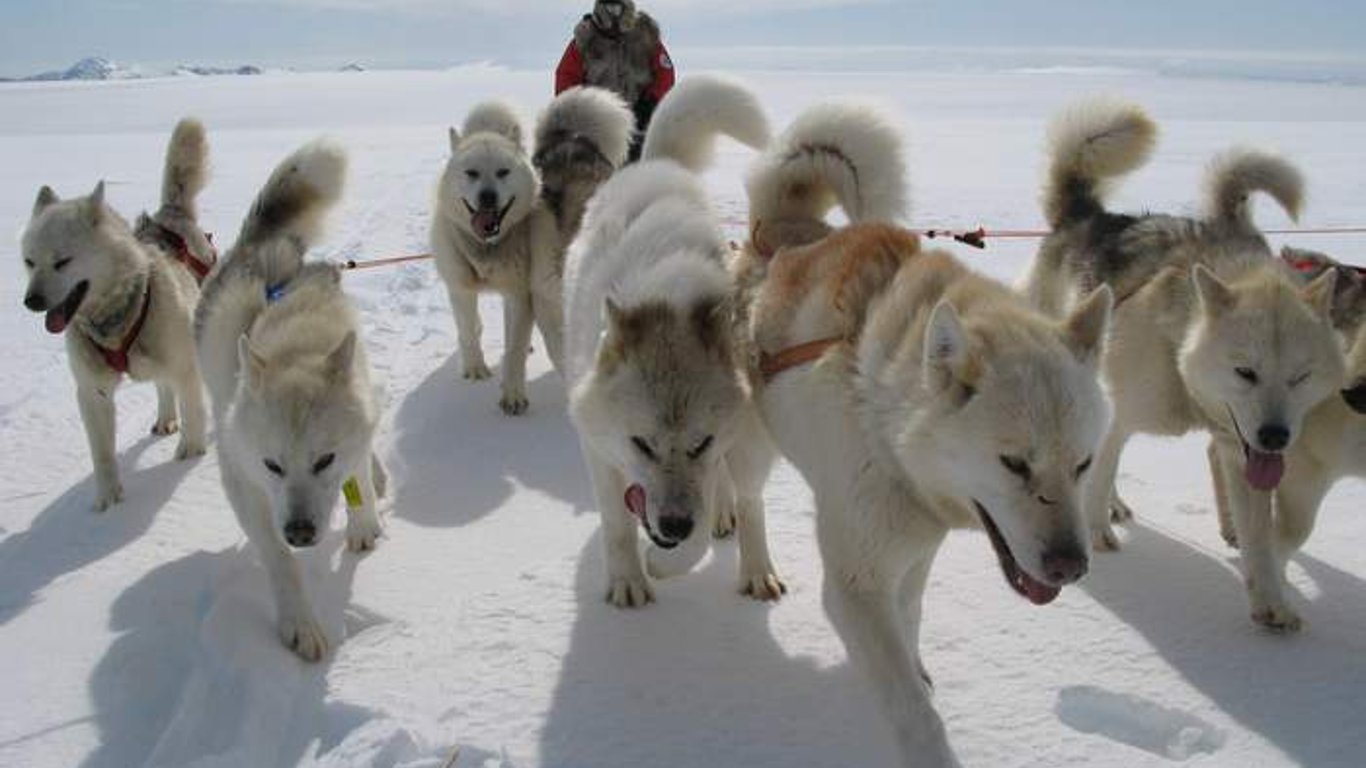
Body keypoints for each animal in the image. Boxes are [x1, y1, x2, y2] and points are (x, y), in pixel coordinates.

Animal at [19, 119, 213, 508]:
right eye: (30, 262)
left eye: (62, 261)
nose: (31, 301)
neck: (115, 316)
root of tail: (171, 213)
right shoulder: (91, 392)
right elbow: (102, 453)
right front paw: (108, 499)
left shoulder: (186, 365)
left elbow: (193, 411)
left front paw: (190, 452)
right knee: (162, 386)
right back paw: (165, 418)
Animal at [192, 137, 387, 658]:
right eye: (272, 465)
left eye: (324, 460)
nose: (300, 532)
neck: (292, 342)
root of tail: (263, 249)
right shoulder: (243, 479)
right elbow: (277, 559)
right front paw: (299, 623)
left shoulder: (353, 434)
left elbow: (358, 474)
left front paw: (363, 522)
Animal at [562, 76, 786, 604]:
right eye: (641, 444)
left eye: (699, 443)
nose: (673, 526)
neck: (663, 295)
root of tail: (658, 164)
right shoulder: (600, 449)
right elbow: (616, 524)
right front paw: (628, 581)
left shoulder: (719, 449)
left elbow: (708, 518)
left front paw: (664, 563)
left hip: (747, 440)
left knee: (747, 500)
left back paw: (753, 565)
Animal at [748, 103, 1109, 765]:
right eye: (1014, 464)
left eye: (1082, 465)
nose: (1071, 567)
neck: (883, 422)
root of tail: (783, 226)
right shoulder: (856, 585)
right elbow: (915, 716)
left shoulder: (915, 550)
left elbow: (911, 621)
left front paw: (920, 669)